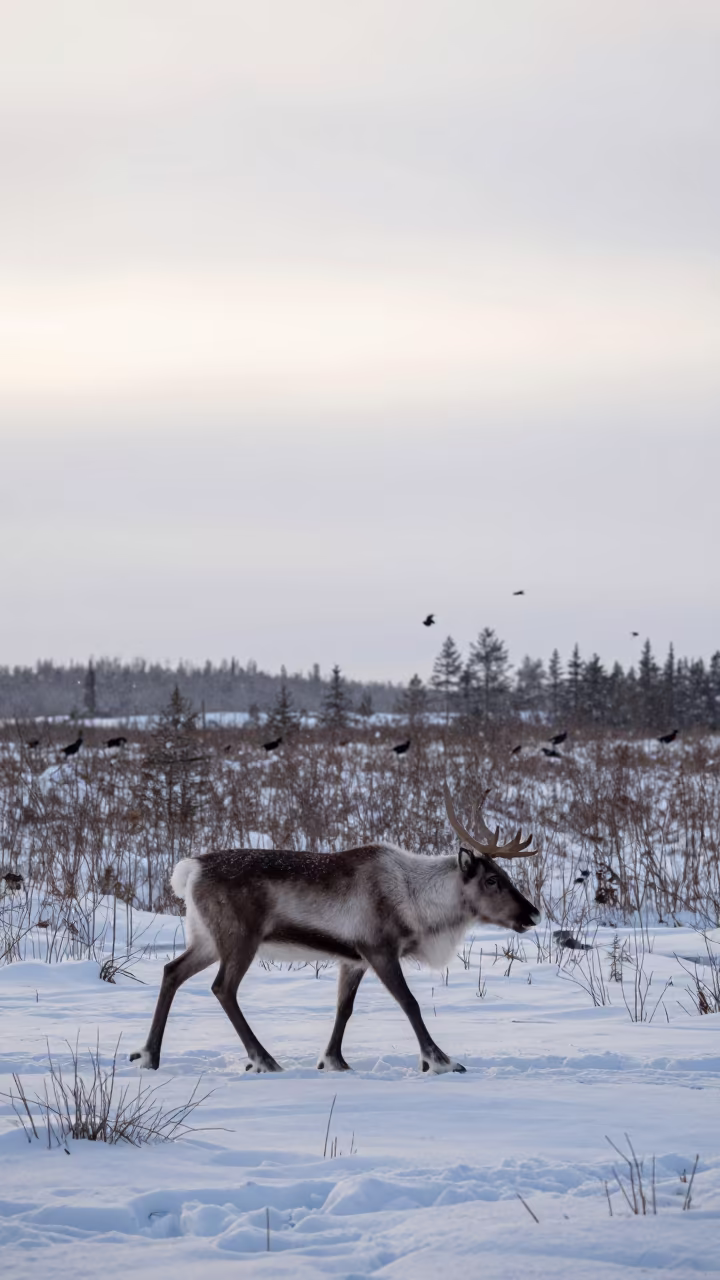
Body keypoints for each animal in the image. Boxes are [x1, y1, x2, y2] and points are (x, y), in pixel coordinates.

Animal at [130, 784, 540, 1076]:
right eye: (491, 879)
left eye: (504, 875)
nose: (533, 914)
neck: (417, 898)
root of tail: (190, 870)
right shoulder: (379, 950)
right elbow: (410, 1002)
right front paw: (440, 1061)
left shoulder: (353, 959)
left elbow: (344, 1008)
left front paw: (334, 1061)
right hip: (239, 939)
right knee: (222, 988)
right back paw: (264, 1060)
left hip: (207, 939)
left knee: (172, 971)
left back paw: (149, 1055)